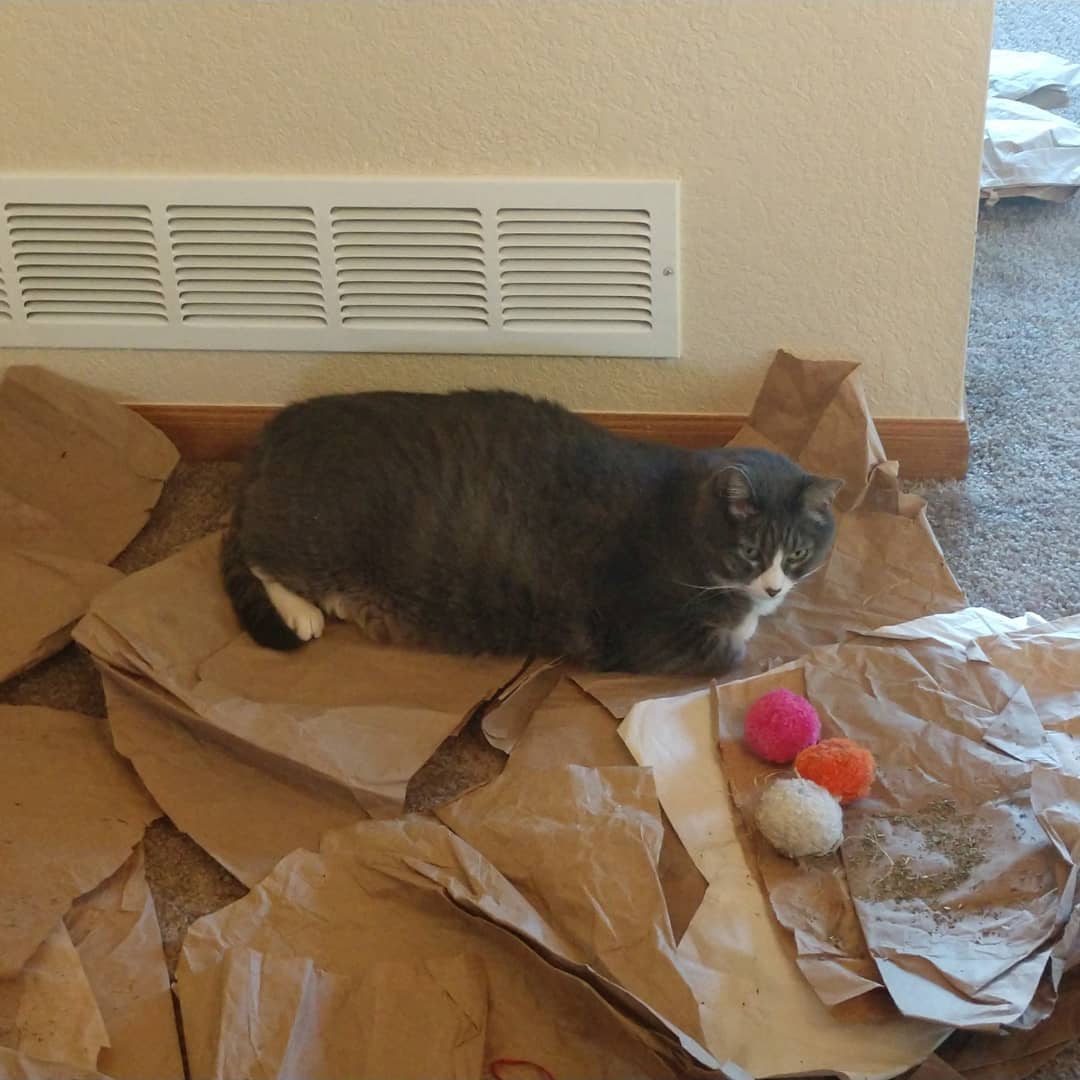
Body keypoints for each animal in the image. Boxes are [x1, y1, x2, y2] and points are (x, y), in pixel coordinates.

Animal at [221, 389, 841, 676]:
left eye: (798, 553)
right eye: (750, 551)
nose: (774, 587)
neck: (685, 521)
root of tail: (277, 426)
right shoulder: (652, 634)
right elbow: (733, 647)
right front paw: (748, 626)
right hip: (314, 535)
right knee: (256, 554)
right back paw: (302, 612)